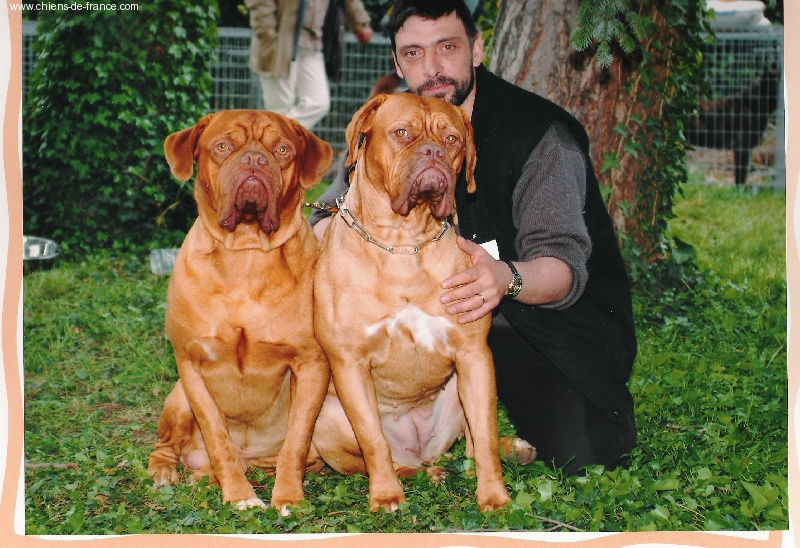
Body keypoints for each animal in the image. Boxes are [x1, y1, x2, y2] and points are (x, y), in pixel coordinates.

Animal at [148, 109, 332, 512]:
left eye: (282, 150)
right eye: (222, 146)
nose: (254, 160)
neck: (246, 254)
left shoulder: (312, 366)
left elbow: (295, 444)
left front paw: (289, 497)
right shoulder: (191, 363)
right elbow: (217, 437)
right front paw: (240, 496)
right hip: (178, 397)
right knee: (167, 446)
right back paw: (167, 472)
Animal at [312, 92, 520, 512]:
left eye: (452, 139)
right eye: (402, 133)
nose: (433, 152)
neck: (403, 243)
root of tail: (420, 449)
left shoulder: (474, 355)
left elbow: (486, 435)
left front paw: (495, 496)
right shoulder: (349, 364)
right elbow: (373, 441)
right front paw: (385, 496)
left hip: (461, 386)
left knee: (471, 445)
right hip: (327, 419)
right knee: (390, 459)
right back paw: (414, 475)